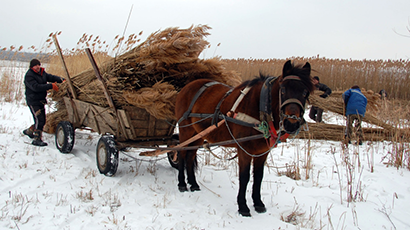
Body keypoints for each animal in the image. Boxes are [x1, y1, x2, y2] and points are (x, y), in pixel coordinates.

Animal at [174, 60, 314, 217]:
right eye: (283, 90)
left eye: (305, 92)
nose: (291, 123)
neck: (258, 108)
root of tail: (188, 86)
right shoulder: (244, 150)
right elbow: (244, 177)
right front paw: (243, 206)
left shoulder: (262, 152)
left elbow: (258, 177)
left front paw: (258, 203)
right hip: (185, 129)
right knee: (182, 153)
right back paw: (182, 184)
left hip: (198, 133)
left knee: (190, 155)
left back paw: (193, 184)